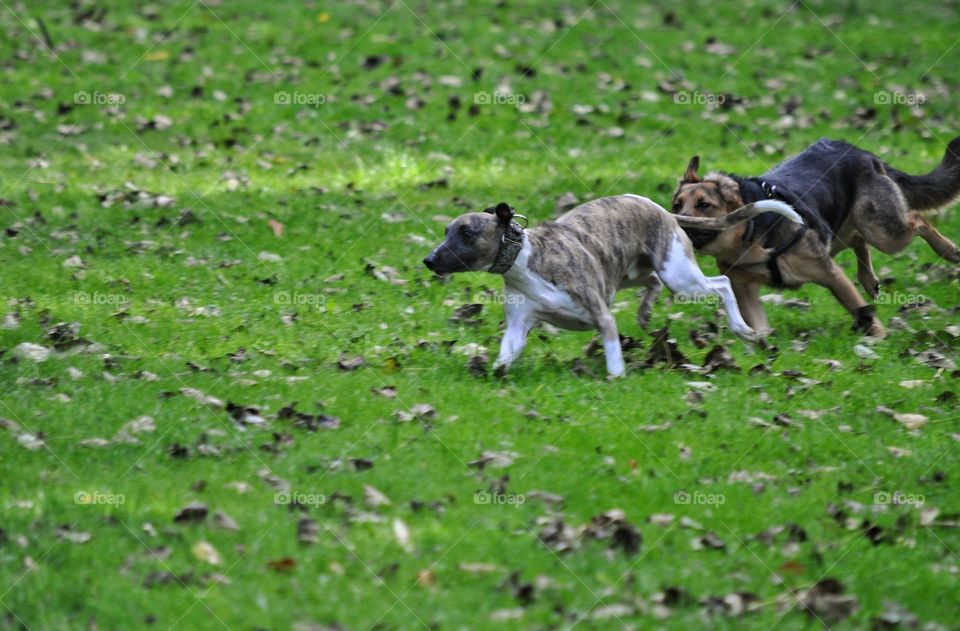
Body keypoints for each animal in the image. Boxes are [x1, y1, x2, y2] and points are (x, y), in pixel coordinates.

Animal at [672, 137, 960, 336]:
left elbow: (858, 308)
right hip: (840, 231)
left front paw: (878, 337)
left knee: (916, 220)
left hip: (882, 232)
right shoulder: (745, 289)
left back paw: (948, 250)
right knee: (858, 240)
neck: (751, 234)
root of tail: (863, 153)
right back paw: (868, 279)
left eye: (704, 205)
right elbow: (758, 324)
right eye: (677, 204)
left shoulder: (831, 274)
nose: (676, 223)